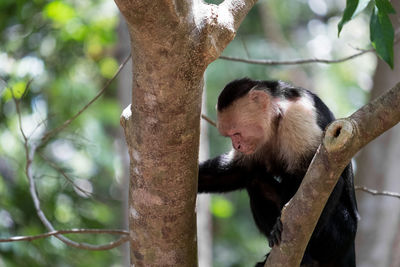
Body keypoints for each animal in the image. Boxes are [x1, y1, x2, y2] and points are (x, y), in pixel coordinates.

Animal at [198, 78, 358, 267]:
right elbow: (240, 171)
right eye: (229, 135)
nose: (236, 146)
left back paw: (305, 257)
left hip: (339, 235)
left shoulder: (298, 116)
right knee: (256, 180)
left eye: (236, 133)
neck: (277, 116)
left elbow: (328, 181)